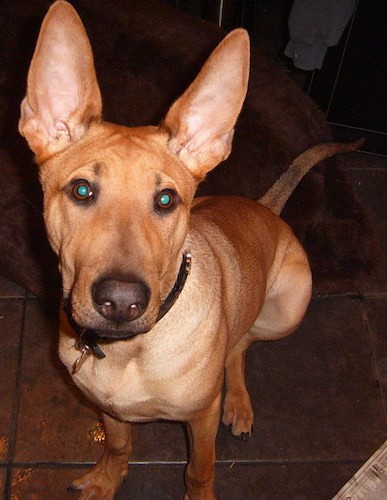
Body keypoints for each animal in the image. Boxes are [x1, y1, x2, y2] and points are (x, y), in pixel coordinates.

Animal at [19, 1, 360, 498]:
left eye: (166, 200)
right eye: (81, 190)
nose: (120, 302)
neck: (131, 352)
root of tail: (264, 207)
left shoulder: (200, 418)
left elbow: (200, 468)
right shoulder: (109, 409)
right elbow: (118, 445)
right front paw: (106, 479)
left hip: (288, 309)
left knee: (242, 343)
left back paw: (238, 400)